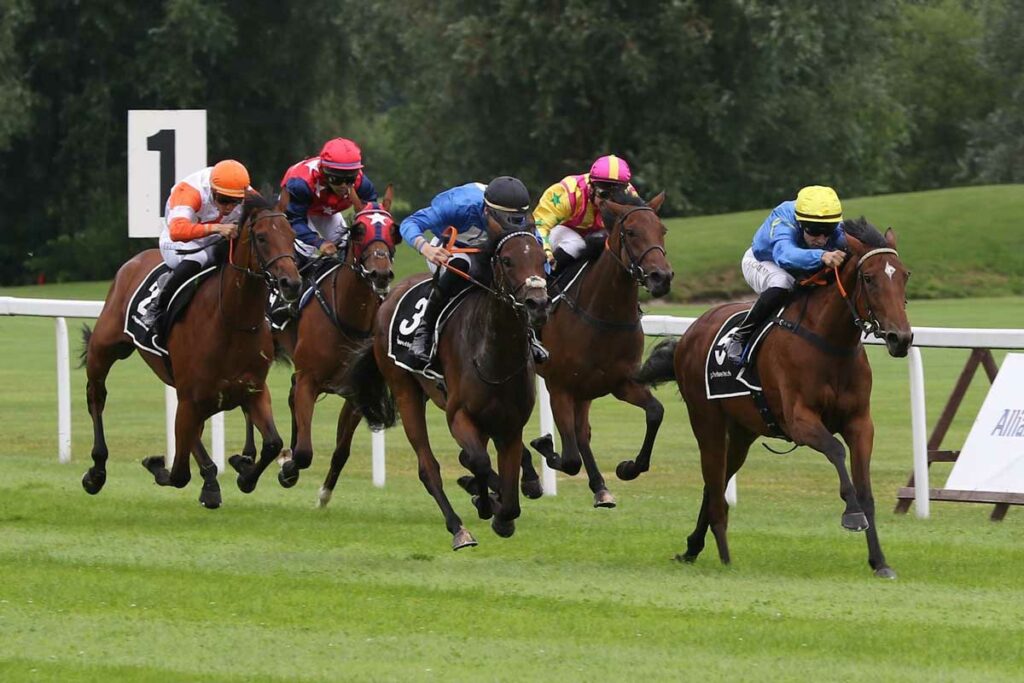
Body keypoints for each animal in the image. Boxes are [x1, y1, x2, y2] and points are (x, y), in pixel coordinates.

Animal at [79, 194, 299, 509]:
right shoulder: (192, 396)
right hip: (105, 349)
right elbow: (179, 473)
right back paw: (96, 471)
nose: (291, 283)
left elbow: (273, 443)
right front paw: (161, 466)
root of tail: (134, 261)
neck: (231, 321)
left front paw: (243, 475)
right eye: (261, 237)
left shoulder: (253, 390)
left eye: (292, 236)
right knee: (96, 396)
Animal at [233, 184, 399, 493]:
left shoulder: (355, 392)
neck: (347, 316)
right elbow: (304, 454)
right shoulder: (308, 380)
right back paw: (248, 455)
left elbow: (340, 451)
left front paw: (322, 491)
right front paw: (284, 469)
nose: (380, 274)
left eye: (394, 230)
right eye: (358, 230)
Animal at [337, 219, 548, 548]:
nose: (537, 304)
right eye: (507, 260)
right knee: (429, 467)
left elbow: (508, 490)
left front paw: (502, 511)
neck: (494, 354)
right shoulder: (459, 414)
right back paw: (459, 528)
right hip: (405, 391)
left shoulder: (511, 424)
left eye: (542, 258)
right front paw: (486, 504)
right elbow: (480, 462)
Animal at [532, 189, 675, 505]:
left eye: (662, 230)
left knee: (582, 433)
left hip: (585, 391)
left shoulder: (620, 382)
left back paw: (600, 487)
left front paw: (628, 467)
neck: (604, 316)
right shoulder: (559, 387)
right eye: (631, 232)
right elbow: (569, 458)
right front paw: (544, 443)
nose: (661, 277)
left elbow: (655, 412)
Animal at [638, 219, 913, 577]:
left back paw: (693, 547)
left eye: (904, 275)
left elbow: (866, 489)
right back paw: (722, 553)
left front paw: (880, 561)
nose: (900, 338)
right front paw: (852, 514)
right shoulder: (799, 420)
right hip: (706, 419)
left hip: (742, 431)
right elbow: (836, 451)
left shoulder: (860, 423)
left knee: (715, 482)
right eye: (868, 278)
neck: (830, 343)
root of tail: (692, 331)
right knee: (712, 476)